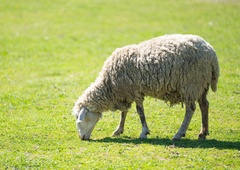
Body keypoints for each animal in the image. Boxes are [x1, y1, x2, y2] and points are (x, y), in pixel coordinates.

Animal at [72, 33, 219, 141]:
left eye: (80, 119)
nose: (82, 138)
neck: (109, 85)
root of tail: (211, 53)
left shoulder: (134, 91)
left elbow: (140, 112)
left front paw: (143, 132)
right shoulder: (126, 92)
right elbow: (124, 112)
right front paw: (119, 130)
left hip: (190, 84)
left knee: (190, 109)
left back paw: (179, 134)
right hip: (202, 85)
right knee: (204, 105)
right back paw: (203, 133)